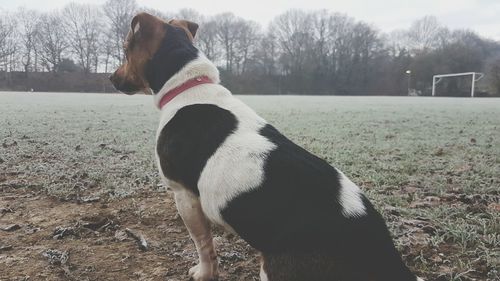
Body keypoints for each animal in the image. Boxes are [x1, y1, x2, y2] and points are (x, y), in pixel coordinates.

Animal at [111, 12, 424, 280]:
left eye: (126, 49)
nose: (111, 78)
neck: (188, 85)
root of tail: (385, 258)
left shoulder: (184, 195)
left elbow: (203, 245)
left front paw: (203, 273)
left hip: (274, 268)